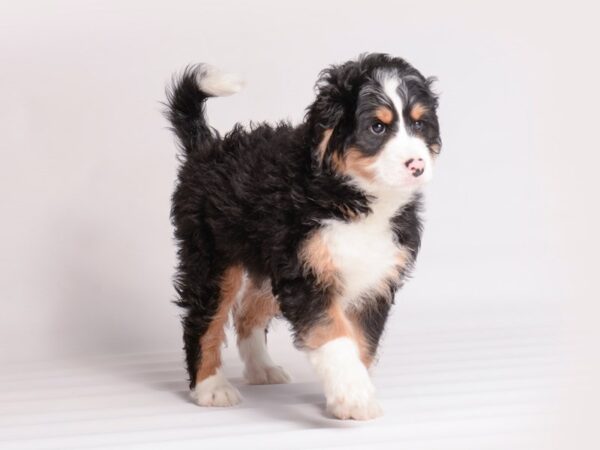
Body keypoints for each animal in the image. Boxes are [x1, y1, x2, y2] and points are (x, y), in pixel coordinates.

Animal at [164, 53, 440, 422]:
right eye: (377, 127)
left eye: (420, 125)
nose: (417, 165)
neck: (356, 201)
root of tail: (206, 147)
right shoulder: (307, 277)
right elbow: (335, 336)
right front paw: (355, 398)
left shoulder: (374, 281)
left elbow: (362, 344)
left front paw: (350, 393)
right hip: (212, 257)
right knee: (203, 319)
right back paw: (211, 387)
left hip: (267, 263)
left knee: (247, 312)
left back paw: (262, 369)